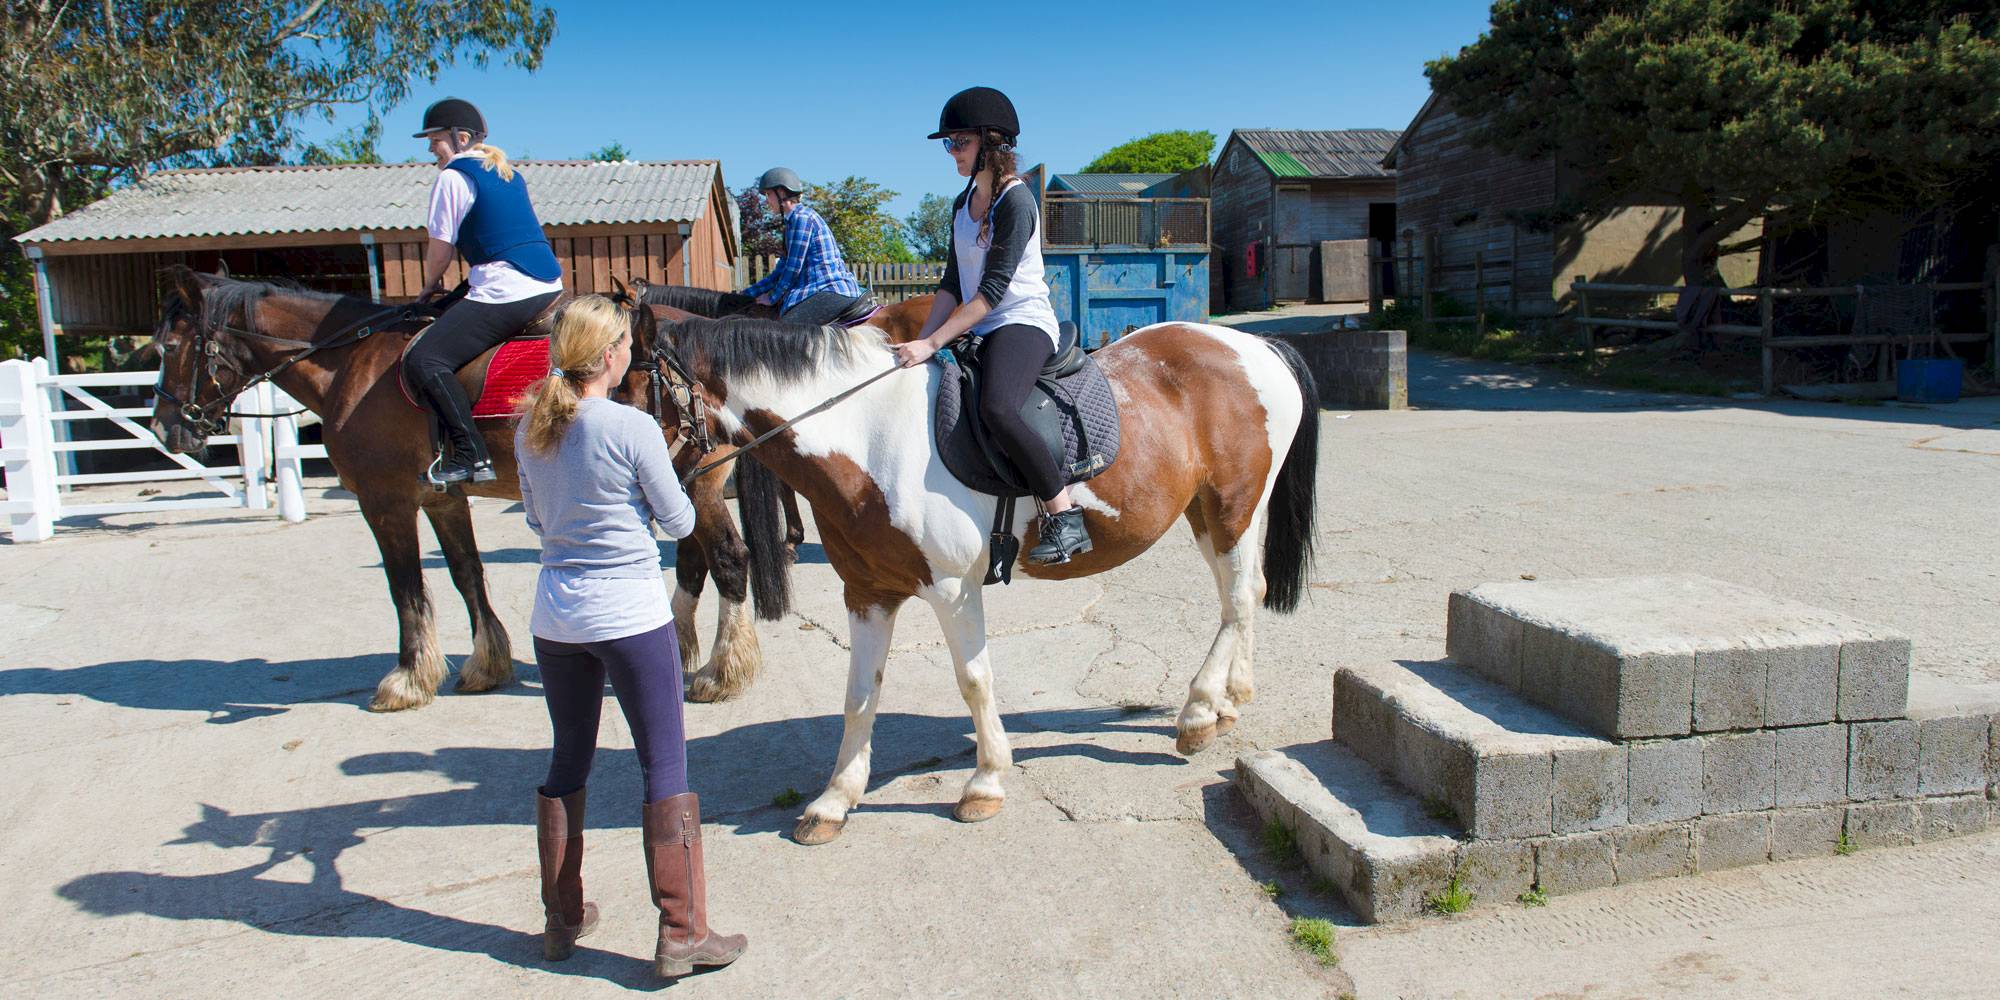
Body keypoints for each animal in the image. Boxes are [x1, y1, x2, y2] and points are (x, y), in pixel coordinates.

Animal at [148, 268, 768, 712]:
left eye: (167, 348)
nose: (165, 428)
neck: (352, 364)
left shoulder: (384, 501)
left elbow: (405, 587)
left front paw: (405, 679)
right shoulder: (441, 499)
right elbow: (467, 573)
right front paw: (485, 664)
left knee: (728, 560)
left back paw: (720, 672)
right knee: (698, 560)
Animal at [652, 314, 1328, 844]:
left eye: (642, 384)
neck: (868, 437)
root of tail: (1256, 345)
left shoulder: (953, 589)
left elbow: (973, 681)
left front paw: (984, 783)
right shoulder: (868, 594)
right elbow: (859, 694)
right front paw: (834, 800)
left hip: (1233, 507)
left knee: (1237, 599)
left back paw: (1197, 715)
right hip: (1209, 514)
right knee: (1244, 596)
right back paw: (1228, 701)